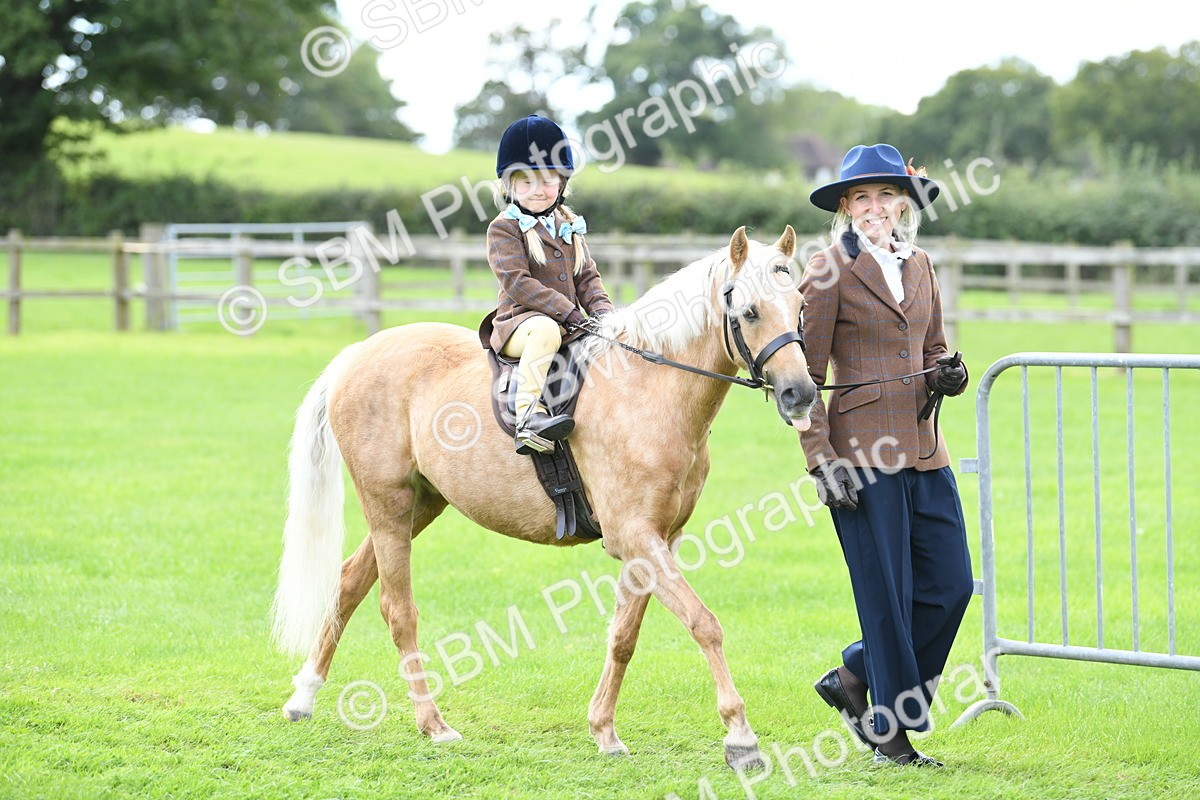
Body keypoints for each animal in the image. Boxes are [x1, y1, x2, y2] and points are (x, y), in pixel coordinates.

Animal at [270, 226, 818, 768]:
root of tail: (357, 354)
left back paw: (303, 697)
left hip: (419, 506)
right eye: (750, 311)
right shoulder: (636, 536)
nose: (801, 394)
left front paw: (604, 730)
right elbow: (704, 624)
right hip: (388, 504)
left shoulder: (658, 539)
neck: (647, 388)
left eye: (799, 304)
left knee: (348, 583)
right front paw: (741, 737)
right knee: (397, 609)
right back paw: (433, 725)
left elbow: (624, 635)